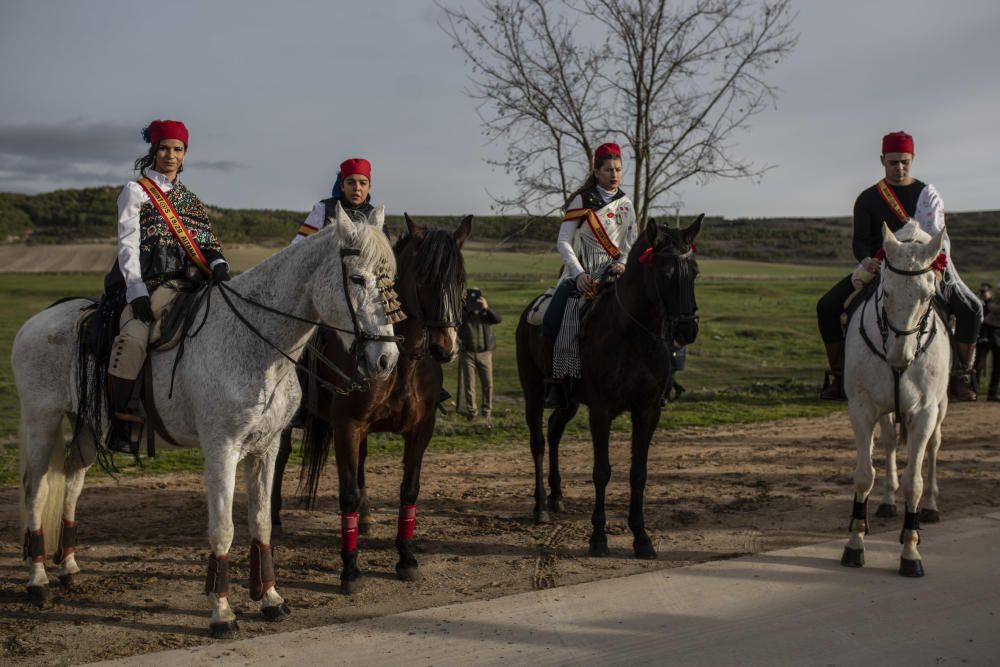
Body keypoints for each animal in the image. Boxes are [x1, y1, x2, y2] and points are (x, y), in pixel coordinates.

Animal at [10, 206, 398, 640]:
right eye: (357, 278)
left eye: (391, 278)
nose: (387, 360)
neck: (256, 344)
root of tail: (38, 321)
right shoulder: (221, 451)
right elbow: (223, 529)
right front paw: (222, 612)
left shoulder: (266, 449)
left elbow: (261, 523)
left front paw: (270, 599)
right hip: (41, 418)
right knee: (36, 489)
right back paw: (38, 580)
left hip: (90, 427)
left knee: (72, 482)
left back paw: (70, 568)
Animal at [270, 211, 472, 592]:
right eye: (425, 277)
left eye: (460, 279)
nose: (446, 347)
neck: (402, 364)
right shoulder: (347, 427)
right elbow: (347, 492)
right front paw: (350, 568)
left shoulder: (420, 430)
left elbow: (409, 491)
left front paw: (405, 558)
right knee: (278, 459)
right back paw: (272, 521)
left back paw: (363, 520)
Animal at [516, 218, 704, 560]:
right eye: (665, 271)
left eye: (694, 271)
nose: (687, 329)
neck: (634, 334)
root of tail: (528, 313)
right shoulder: (601, 411)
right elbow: (601, 470)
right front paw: (598, 537)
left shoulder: (647, 411)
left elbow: (638, 472)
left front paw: (642, 538)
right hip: (534, 392)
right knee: (538, 442)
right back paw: (540, 506)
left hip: (568, 401)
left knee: (554, 431)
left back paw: (557, 495)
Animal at [840, 222, 948, 576]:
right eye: (885, 291)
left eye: (929, 295)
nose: (900, 357)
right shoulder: (862, 409)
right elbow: (864, 476)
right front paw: (855, 543)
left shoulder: (925, 412)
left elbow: (914, 480)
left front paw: (910, 551)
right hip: (887, 409)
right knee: (888, 443)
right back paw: (888, 500)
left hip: (940, 408)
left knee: (933, 449)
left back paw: (930, 506)